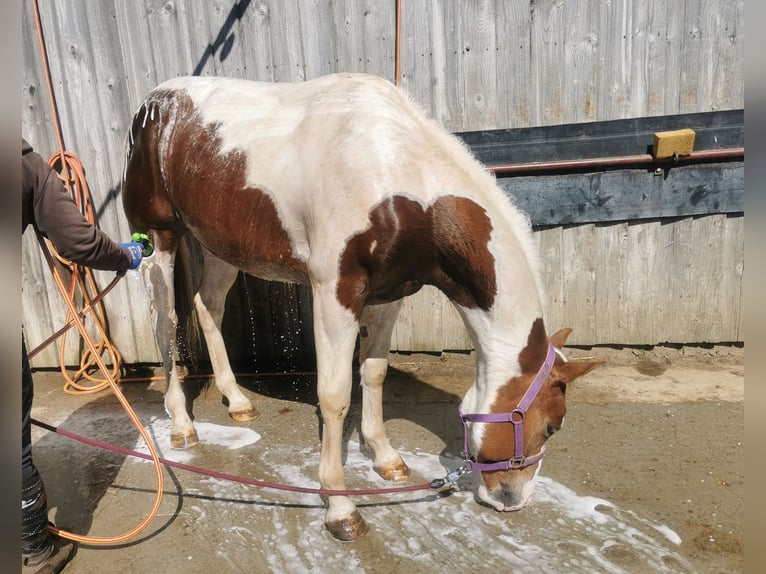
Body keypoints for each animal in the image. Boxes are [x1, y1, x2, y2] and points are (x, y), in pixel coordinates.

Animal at [120, 71, 604, 540]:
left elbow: (374, 375)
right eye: (551, 424)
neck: (396, 175)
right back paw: (182, 424)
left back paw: (236, 399)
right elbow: (334, 396)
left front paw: (385, 458)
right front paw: (339, 506)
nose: (513, 498)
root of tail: (151, 105)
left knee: (208, 308)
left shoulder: (389, 295)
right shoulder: (335, 292)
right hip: (158, 240)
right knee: (165, 322)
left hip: (222, 246)